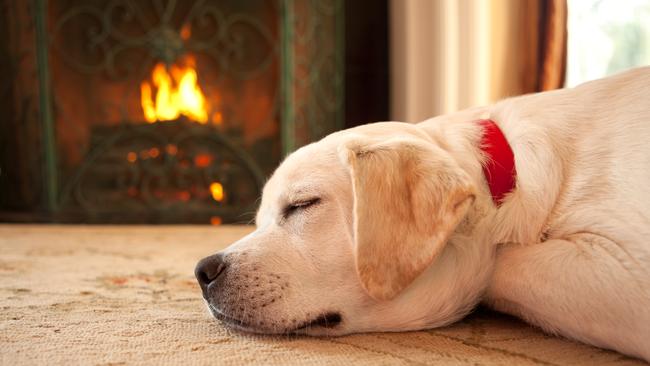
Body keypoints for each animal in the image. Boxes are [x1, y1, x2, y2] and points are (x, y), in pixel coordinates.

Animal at [194, 66, 648, 360]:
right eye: (260, 221)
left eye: (303, 204)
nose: (203, 270)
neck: (509, 178)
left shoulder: (627, 275)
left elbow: (501, 262)